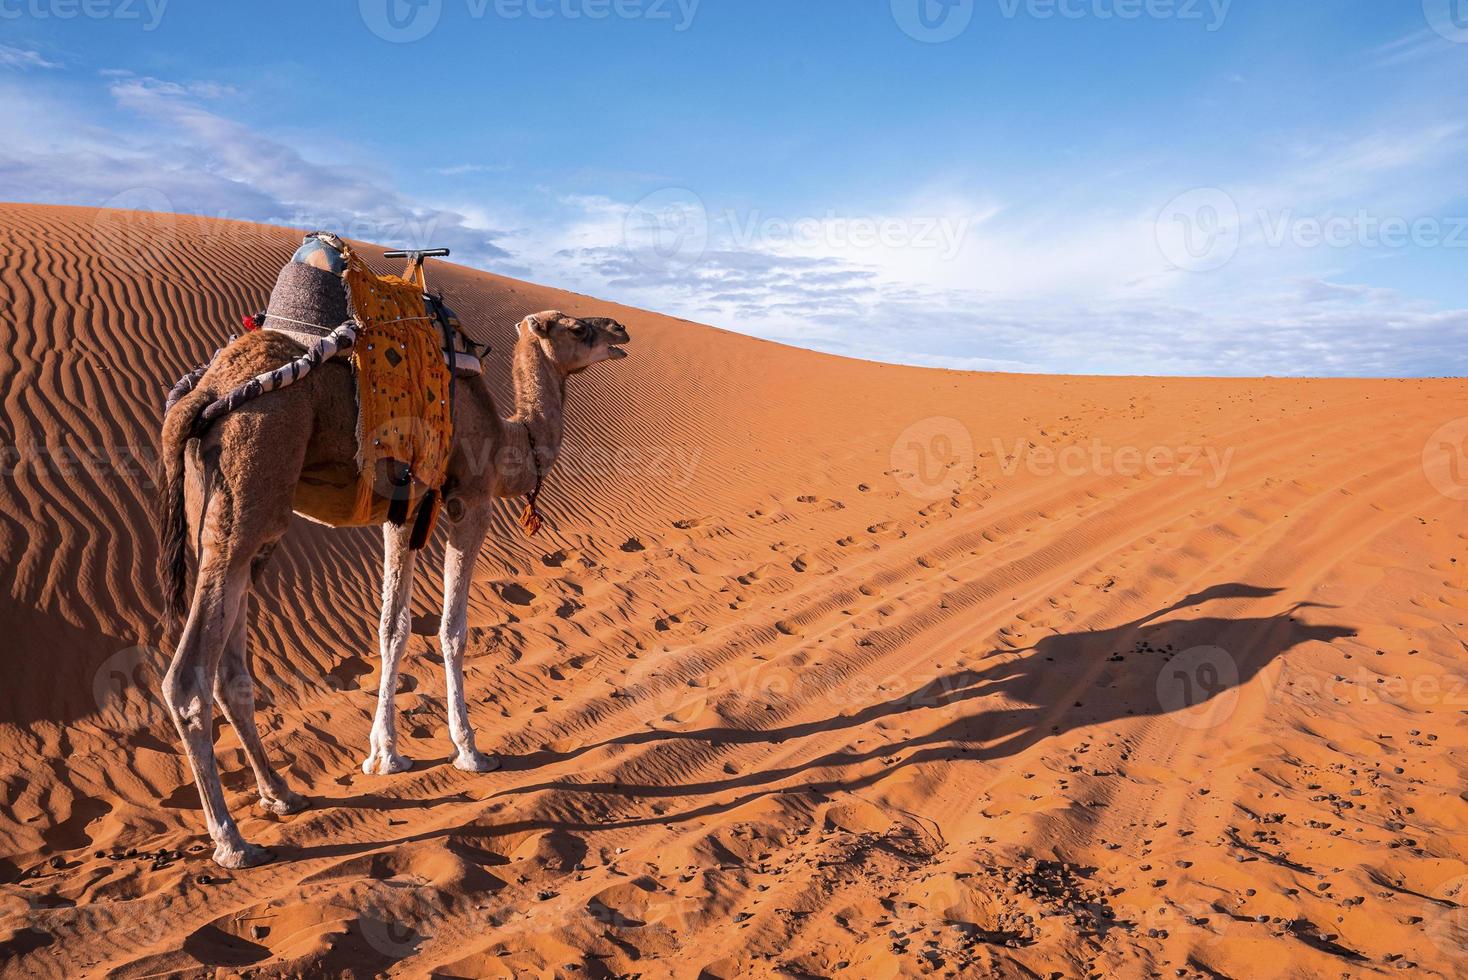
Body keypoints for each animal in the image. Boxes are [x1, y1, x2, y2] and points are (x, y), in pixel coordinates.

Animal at [160, 306, 631, 862]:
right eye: (577, 329)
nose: (620, 330)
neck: (506, 437)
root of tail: (207, 392)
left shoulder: (401, 516)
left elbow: (393, 628)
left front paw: (384, 754)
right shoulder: (471, 501)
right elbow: (451, 629)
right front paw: (470, 750)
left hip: (228, 521)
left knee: (230, 669)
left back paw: (281, 794)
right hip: (250, 481)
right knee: (187, 677)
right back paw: (232, 841)